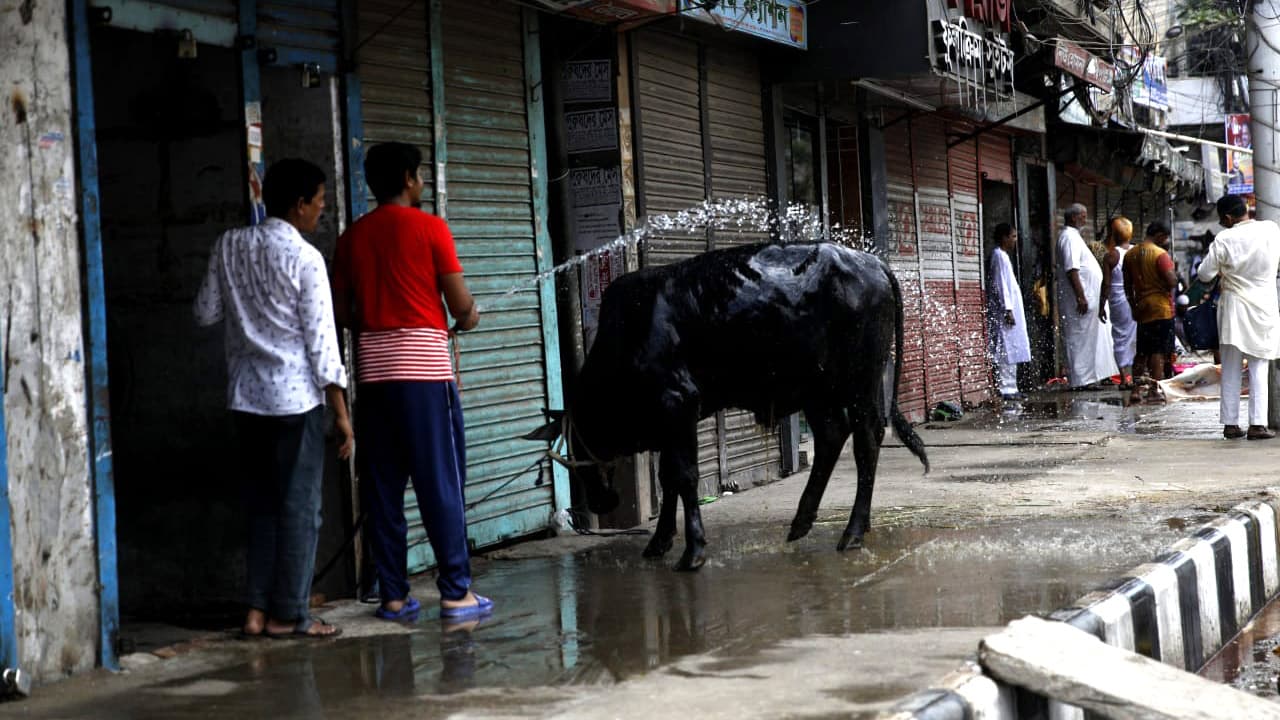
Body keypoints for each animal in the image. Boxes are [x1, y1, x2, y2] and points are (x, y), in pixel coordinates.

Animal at [524, 243, 926, 568]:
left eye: (577, 444)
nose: (599, 503)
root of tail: (872, 262)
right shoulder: (668, 424)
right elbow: (668, 478)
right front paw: (660, 542)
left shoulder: (678, 405)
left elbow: (684, 476)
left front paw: (693, 551)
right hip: (817, 388)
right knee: (832, 438)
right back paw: (803, 522)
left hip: (860, 381)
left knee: (866, 442)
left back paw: (853, 531)